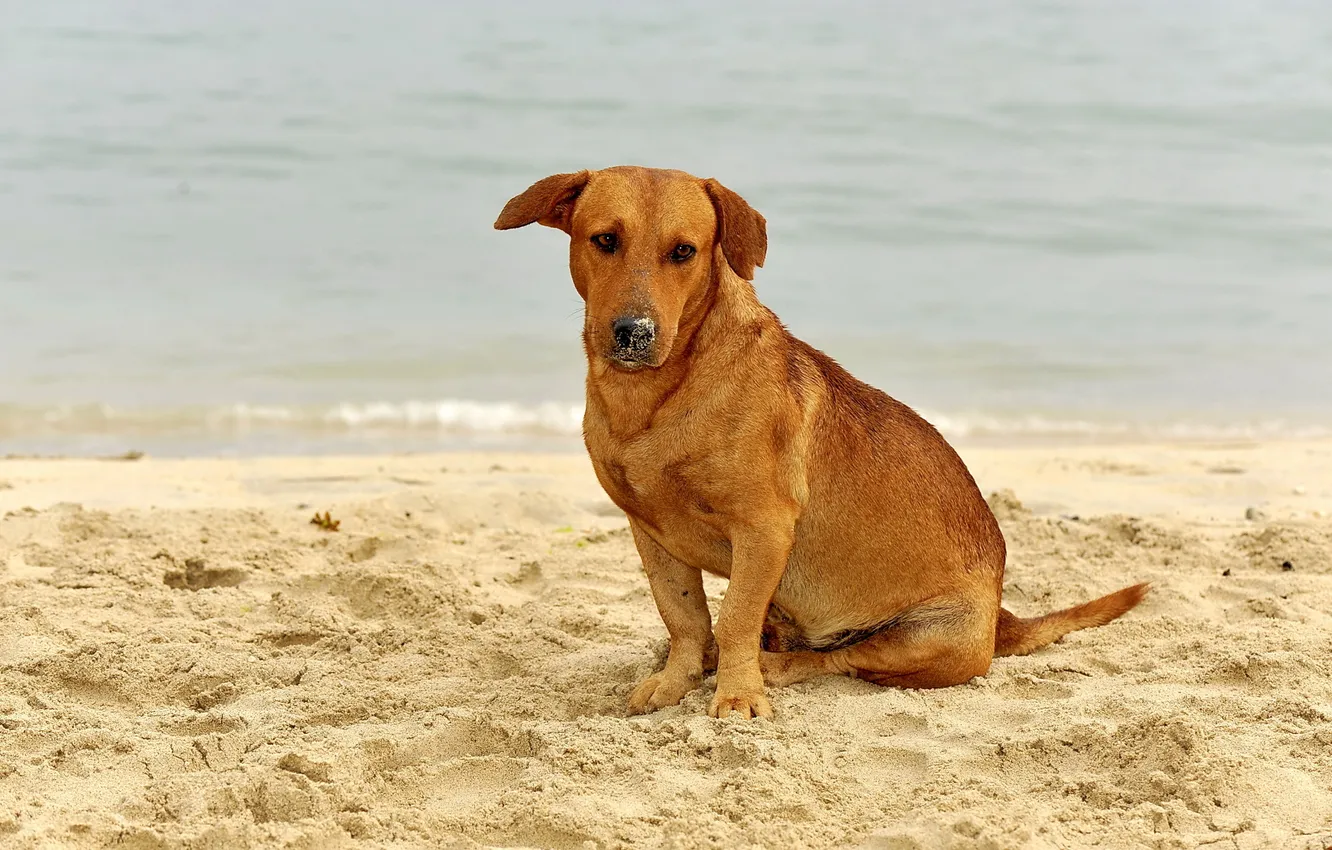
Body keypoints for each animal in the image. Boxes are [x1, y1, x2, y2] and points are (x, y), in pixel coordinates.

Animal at [495, 166, 1150, 719]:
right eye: (604, 240)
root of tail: (999, 618)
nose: (634, 333)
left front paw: (738, 696)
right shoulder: (650, 532)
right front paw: (676, 681)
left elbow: (731, 619)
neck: (656, 396)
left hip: (920, 636)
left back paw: (776, 665)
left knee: (836, 659)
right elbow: (685, 618)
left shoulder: (763, 529)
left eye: (684, 251)